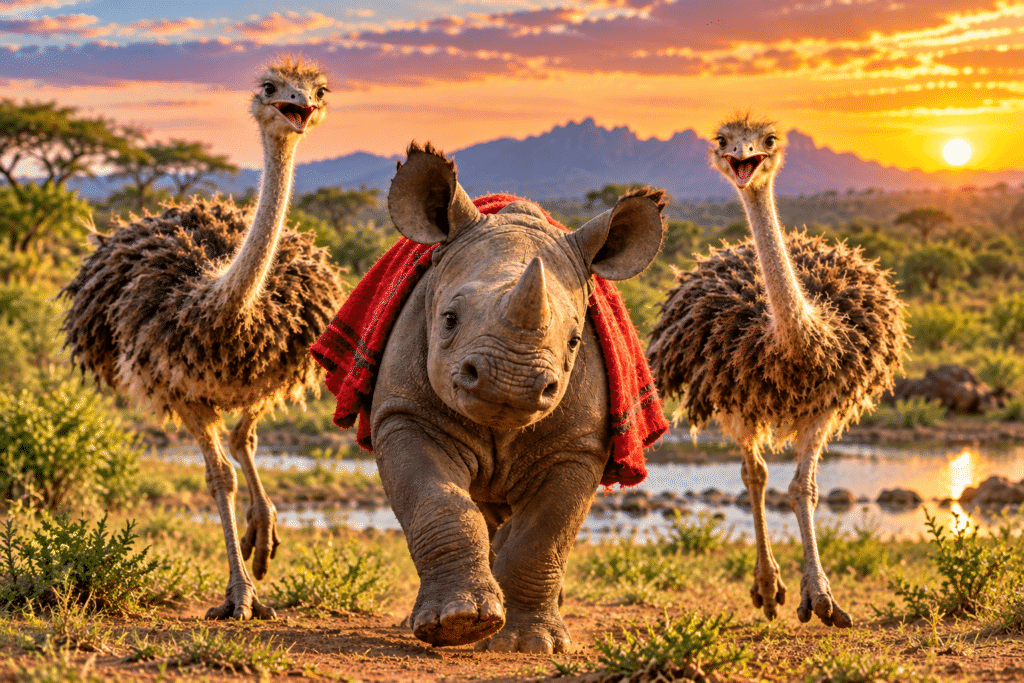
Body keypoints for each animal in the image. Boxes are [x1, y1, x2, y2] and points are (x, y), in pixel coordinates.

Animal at [371, 144, 665, 653]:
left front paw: (530, 644)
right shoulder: (405, 413)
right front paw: (459, 623)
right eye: (448, 319)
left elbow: (546, 533)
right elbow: (439, 501)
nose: (510, 383)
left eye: (574, 341)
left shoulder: (578, 446)